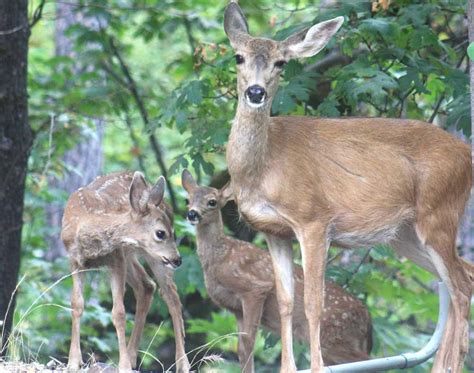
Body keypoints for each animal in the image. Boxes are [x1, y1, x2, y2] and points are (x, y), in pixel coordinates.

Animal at [60, 172, 189, 372]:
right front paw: (73, 362)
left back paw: (182, 363)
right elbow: (77, 304)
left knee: (171, 295)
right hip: (131, 255)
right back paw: (132, 356)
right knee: (146, 285)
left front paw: (124, 366)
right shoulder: (74, 261)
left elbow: (119, 313)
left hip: (152, 258)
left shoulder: (117, 258)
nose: (178, 260)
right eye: (161, 233)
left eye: (173, 233)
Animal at [183, 169, 372, 372]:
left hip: (335, 337)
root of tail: (368, 320)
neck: (220, 258)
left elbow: (248, 342)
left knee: (368, 358)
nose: (192, 214)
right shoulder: (235, 308)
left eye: (212, 201)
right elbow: (241, 348)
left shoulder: (254, 287)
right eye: (188, 199)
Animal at [224, 2, 472, 372]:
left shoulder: (314, 219)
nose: (256, 92)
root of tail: (468, 155)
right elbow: (285, 301)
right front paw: (288, 367)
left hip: (439, 213)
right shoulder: (273, 231)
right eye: (238, 57)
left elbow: (314, 302)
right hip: (405, 234)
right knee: (464, 277)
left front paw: (315, 366)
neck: (263, 167)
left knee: (460, 287)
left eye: (281, 62)